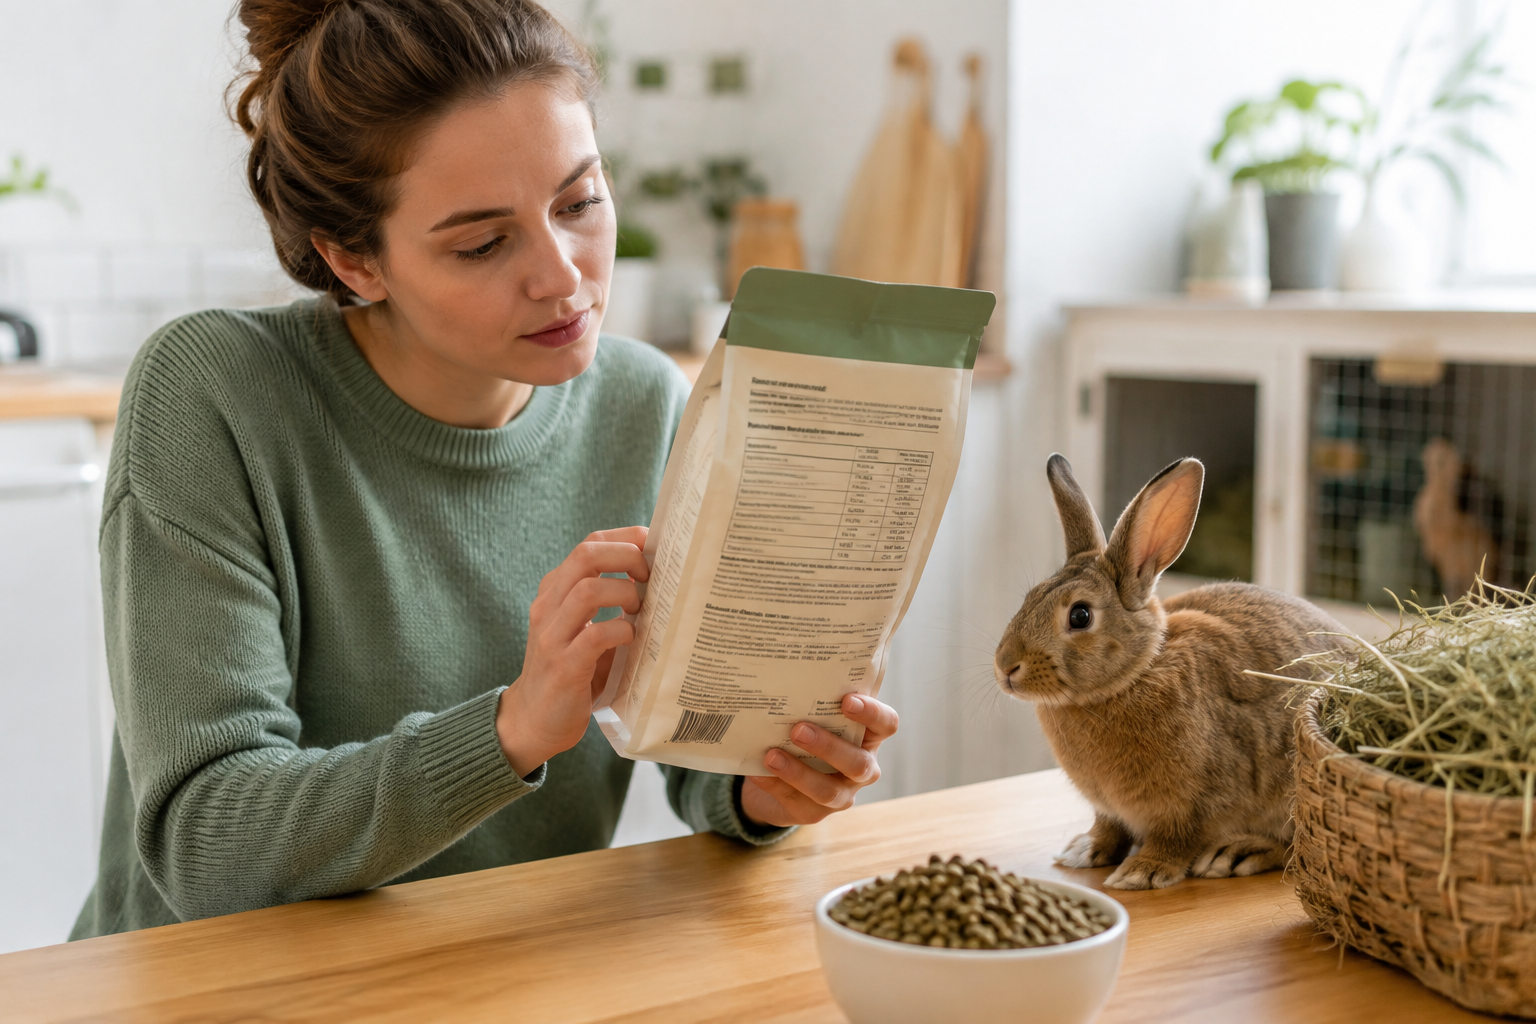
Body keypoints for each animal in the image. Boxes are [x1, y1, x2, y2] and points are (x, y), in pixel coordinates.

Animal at [992, 454, 1346, 890]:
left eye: (1080, 616)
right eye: (1029, 598)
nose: (1006, 666)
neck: (1136, 674)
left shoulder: (1195, 804)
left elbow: (1177, 839)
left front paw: (1141, 872)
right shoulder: (1108, 810)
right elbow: (1108, 828)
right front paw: (1084, 851)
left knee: (1298, 849)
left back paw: (1235, 854)